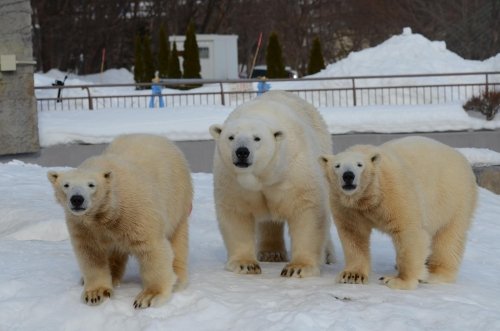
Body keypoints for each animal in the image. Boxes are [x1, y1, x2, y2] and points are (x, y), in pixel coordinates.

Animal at [48, 134, 193, 308]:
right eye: (66, 185)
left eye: (91, 185)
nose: (77, 199)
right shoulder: (83, 226)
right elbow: (91, 254)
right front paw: (95, 294)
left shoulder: (135, 213)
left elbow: (152, 249)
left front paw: (148, 297)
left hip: (177, 197)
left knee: (177, 239)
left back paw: (178, 280)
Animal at [209, 90, 334, 278]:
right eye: (231, 137)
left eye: (257, 138)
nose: (242, 152)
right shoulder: (232, 180)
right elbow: (237, 213)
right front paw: (245, 264)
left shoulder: (295, 170)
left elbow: (307, 210)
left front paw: (298, 268)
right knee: (269, 221)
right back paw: (271, 253)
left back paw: (327, 255)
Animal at [318, 136, 478, 290]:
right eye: (337, 166)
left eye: (359, 164)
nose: (348, 176)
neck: (368, 197)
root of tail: (459, 156)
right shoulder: (348, 207)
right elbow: (354, 234)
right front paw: (352, 275)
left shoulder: (395, 193)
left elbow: (409, 232)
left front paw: (397, 281)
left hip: (453, 198)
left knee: (448, 238)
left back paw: (434, 273)